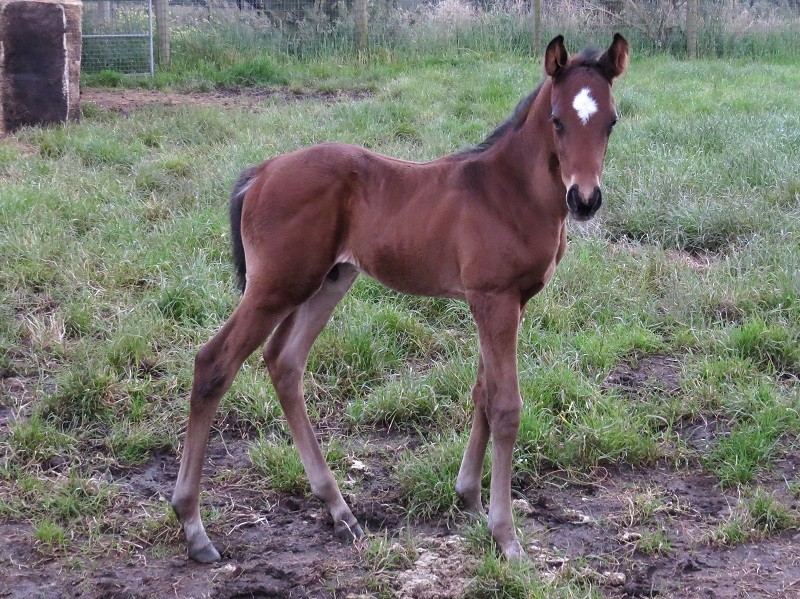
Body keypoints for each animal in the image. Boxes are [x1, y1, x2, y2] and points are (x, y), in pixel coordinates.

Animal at [172, 35, 628, 564]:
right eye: (557, 119)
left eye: (611, 120)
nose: (585, 200)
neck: (508, 191)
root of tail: (262, 171)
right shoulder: (493, 299)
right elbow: (506, 406)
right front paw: (506, 537)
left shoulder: (507, 302)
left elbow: (482, 393)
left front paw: (469, 498)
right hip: (276, 285)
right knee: (214, 363)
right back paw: (194, 526)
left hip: (329, 280)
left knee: (284, 361)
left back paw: (339, 508)